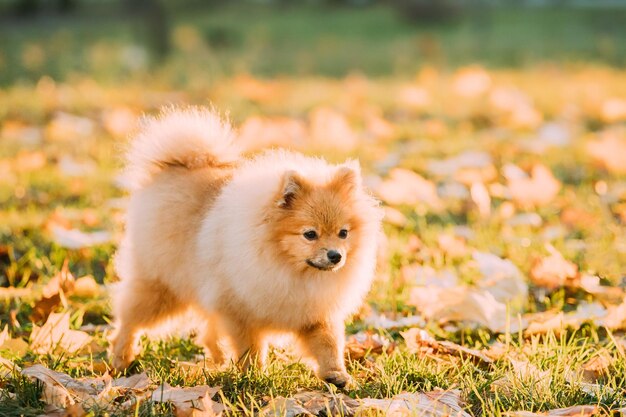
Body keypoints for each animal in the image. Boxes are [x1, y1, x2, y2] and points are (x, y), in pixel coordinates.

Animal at [108, 105, 380, 386]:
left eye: (343, 233)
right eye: (310, 234)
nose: (336, 255)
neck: (291, 272)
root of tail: (176, 165)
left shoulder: (316, 313)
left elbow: (328, 345)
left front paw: (336, 375)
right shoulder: (238, 311)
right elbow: (249, 347)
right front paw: (254, 375)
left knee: (208, 334)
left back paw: (217, 362)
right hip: (161, 287)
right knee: (130, 320)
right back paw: (121, 359)